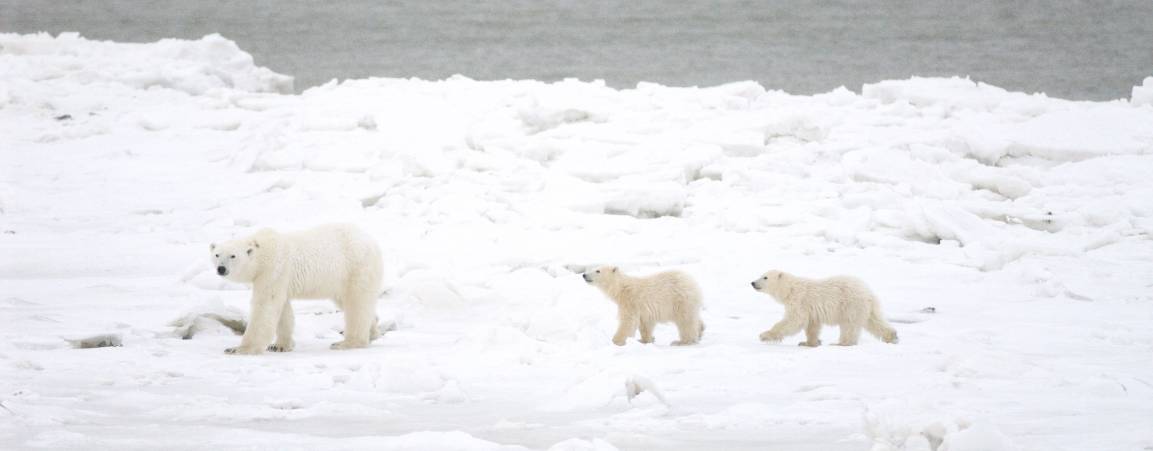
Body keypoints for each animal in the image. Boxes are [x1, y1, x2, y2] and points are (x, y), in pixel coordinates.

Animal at [210, 223, 382, 355]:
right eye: (217, 255)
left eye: (233, 256)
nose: (221, 269)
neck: (264, 251)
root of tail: (373, 243)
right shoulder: (279, 279)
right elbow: (283, 309)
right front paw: (279, 346)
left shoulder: (273, 270)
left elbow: (265, 305)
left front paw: (238, 349)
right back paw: (372, 332)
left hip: (355, 268)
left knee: (357, 304)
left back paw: (347, 342)